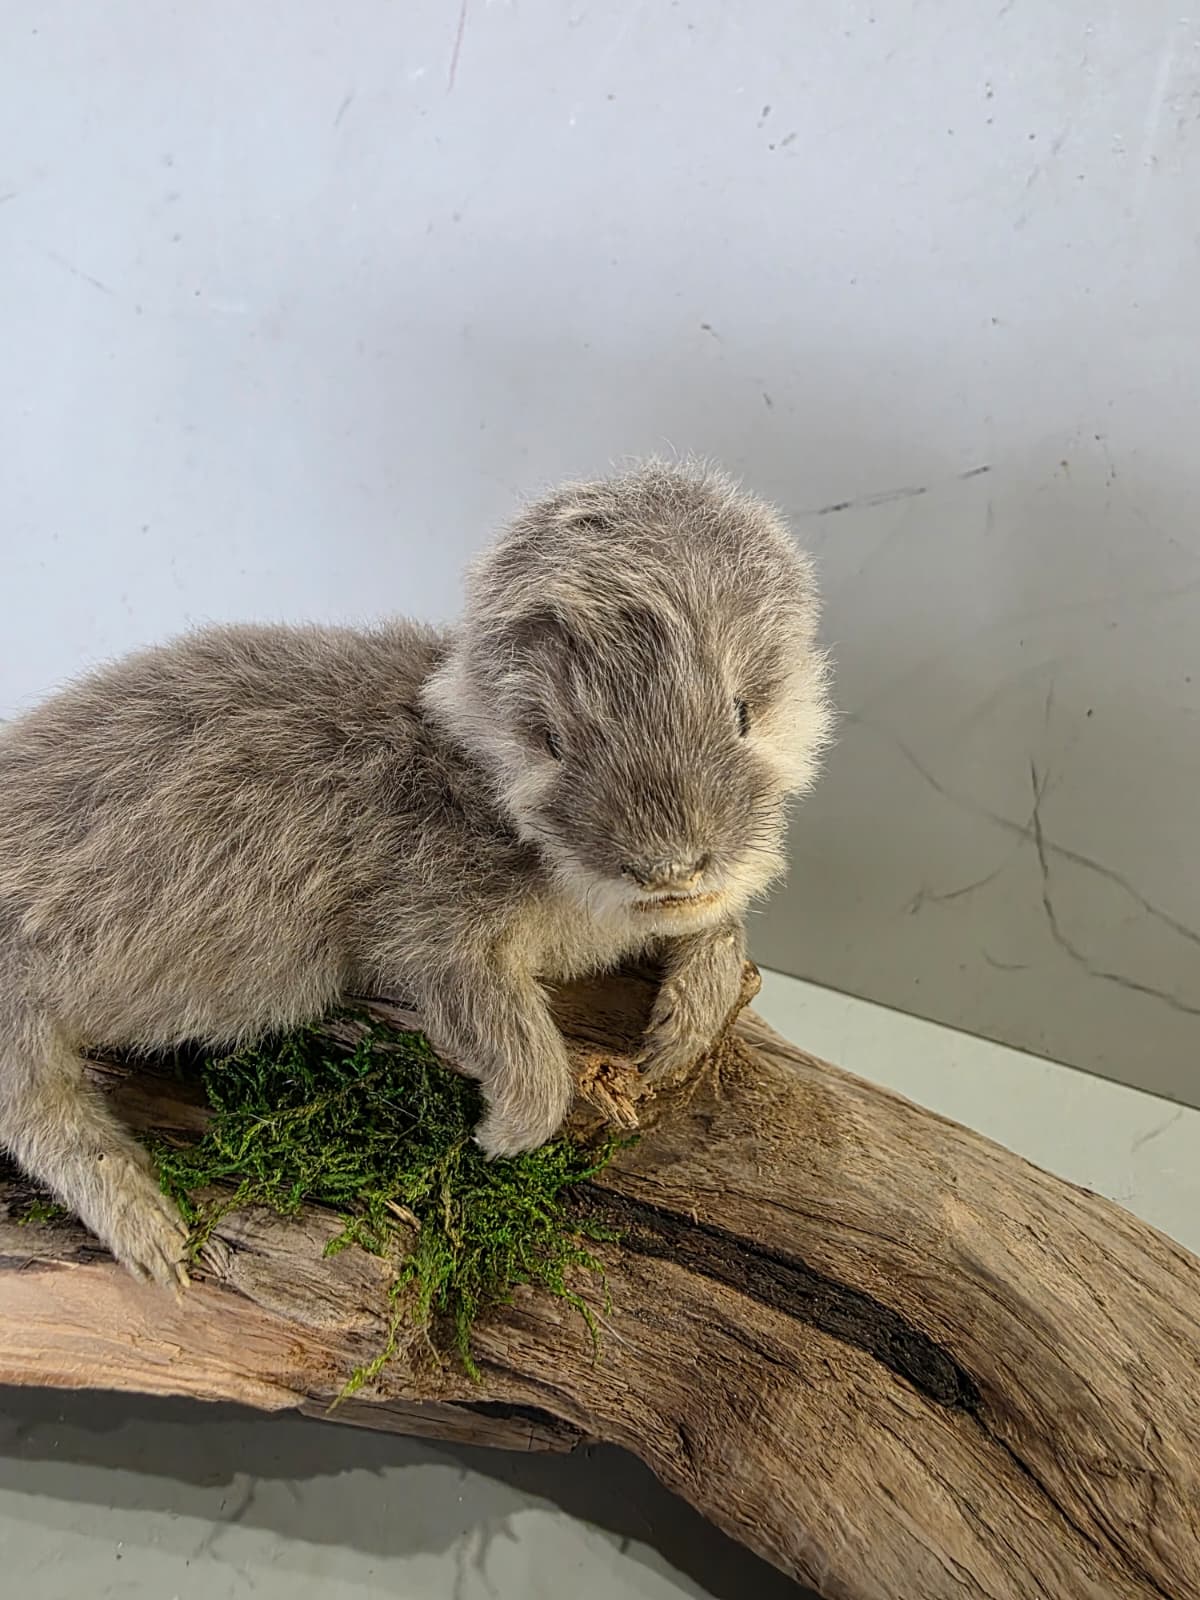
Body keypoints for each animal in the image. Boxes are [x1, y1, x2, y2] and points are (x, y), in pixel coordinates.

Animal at [0, 459, 832, 1287]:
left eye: (741, 712)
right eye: (553, 742)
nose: (668, 864)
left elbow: (721, 927)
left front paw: (682, 1027)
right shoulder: (430, 914)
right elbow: (494, 1018)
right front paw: (507, 1131)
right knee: (39, 1118)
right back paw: (149, 1230)